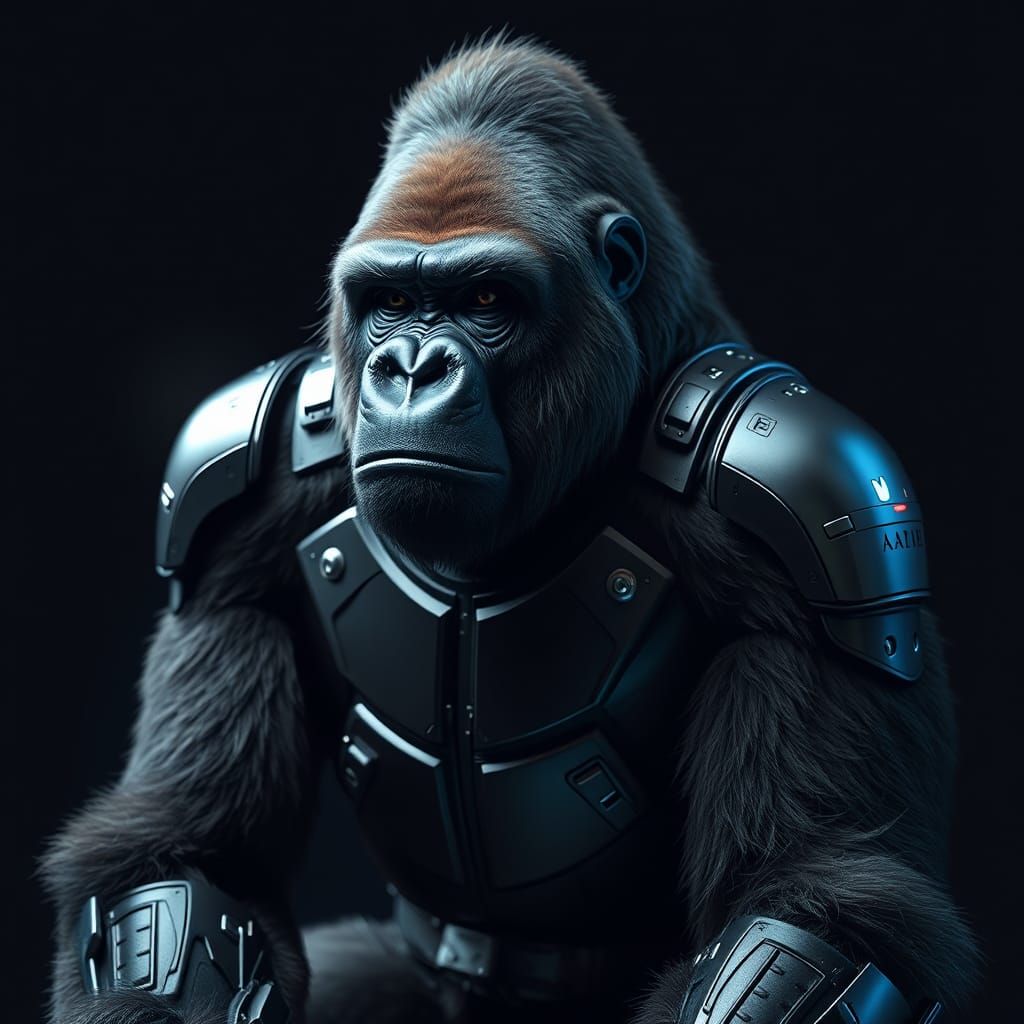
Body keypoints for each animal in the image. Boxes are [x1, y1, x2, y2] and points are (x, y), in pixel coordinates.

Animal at [41, 36, 978, 1024]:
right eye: (388, 301)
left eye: (487, 299)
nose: (411, 367)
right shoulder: (223, 508)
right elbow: (191, 849)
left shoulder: (803, 511)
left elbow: (816, 891)